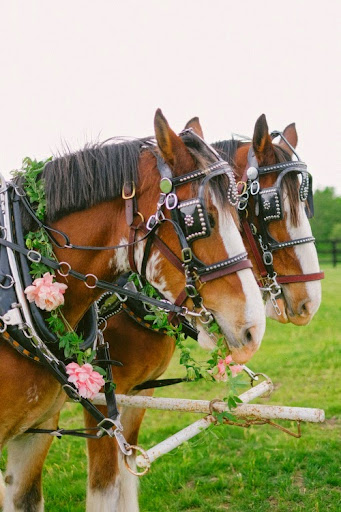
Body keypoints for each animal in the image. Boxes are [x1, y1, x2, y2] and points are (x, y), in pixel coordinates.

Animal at [83, 114, 322, 510]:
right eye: (271, 207)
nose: (310, 302)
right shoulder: (98, 404)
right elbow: (104, 487)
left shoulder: (139, 394)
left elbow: (127, 481)